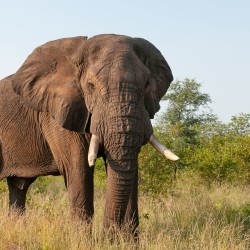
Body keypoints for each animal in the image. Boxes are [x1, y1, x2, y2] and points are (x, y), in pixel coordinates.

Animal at [0, 34, 180, 233]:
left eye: (147, 84)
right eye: (91, 85)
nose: (107, 235)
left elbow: (129, 169)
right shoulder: (57, 112)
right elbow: (79, 169)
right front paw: (82, 238)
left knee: (18, 187)